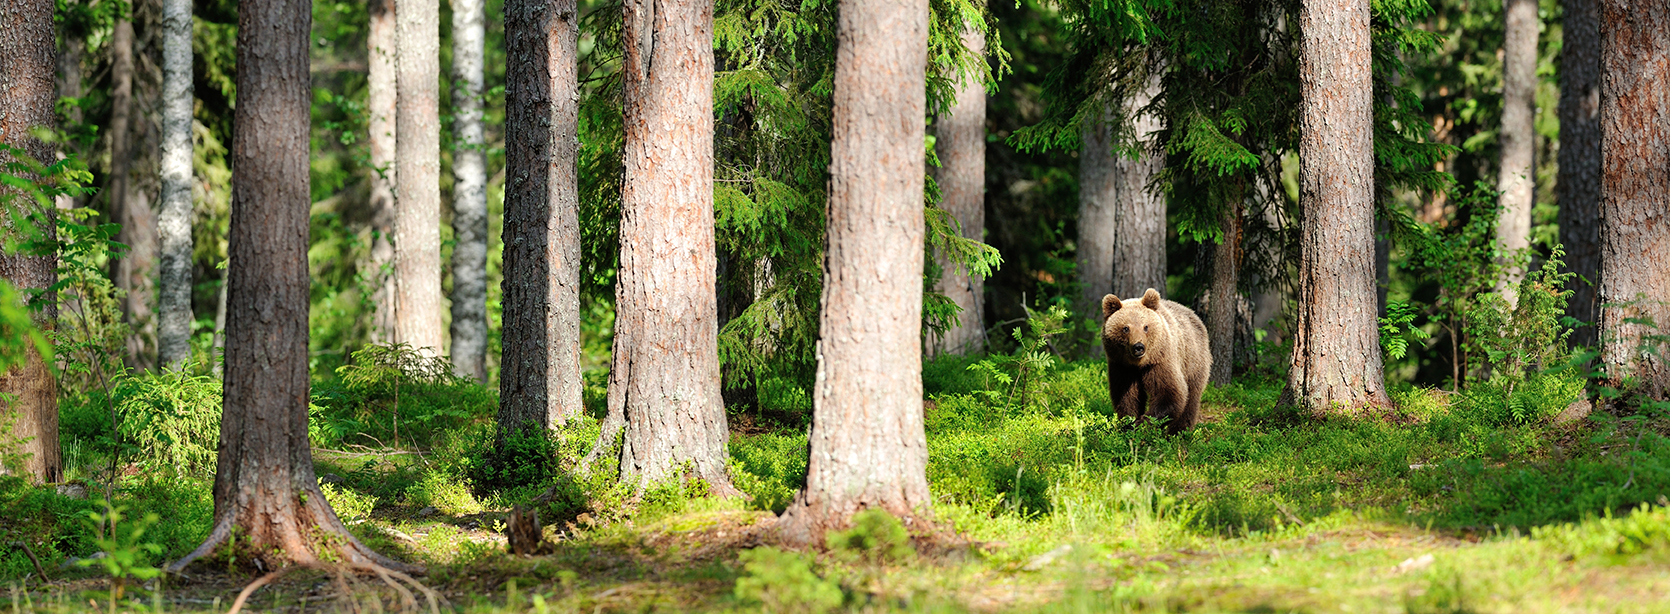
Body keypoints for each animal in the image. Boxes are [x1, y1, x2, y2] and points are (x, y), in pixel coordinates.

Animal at [1102, 286, 1209, 430]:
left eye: (1145, 326)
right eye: (1126, 328)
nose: (1138, 346)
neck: (1139, 364)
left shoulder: (1160, 361)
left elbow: (1170, 393)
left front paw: (1143, 423)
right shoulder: (1121, 366)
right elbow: (1126, 396)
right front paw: (1129, 423)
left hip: (1193, 361)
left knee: (1192, 397)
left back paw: (1179, 431)